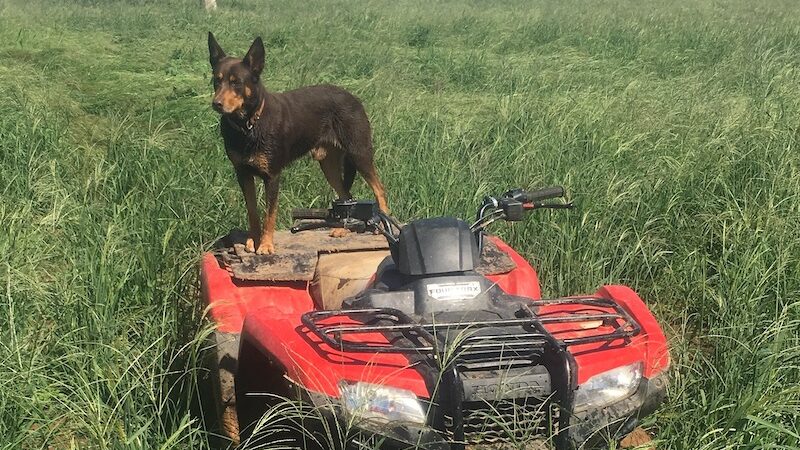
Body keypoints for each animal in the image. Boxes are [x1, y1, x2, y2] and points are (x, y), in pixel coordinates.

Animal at [208, 32, 390, 253]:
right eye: (217, 81)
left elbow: (270, 214)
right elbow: (252, 211)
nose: (216, 103)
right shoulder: (243, 174)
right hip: (328, 165)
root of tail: (352, 97)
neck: (249, 125)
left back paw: (383, 224)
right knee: (346, 195)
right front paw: (253, 239)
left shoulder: (272, 176)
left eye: (236, 83)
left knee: (379, 189)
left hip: (359, 153)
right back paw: (342, 229)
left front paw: (266, 245)